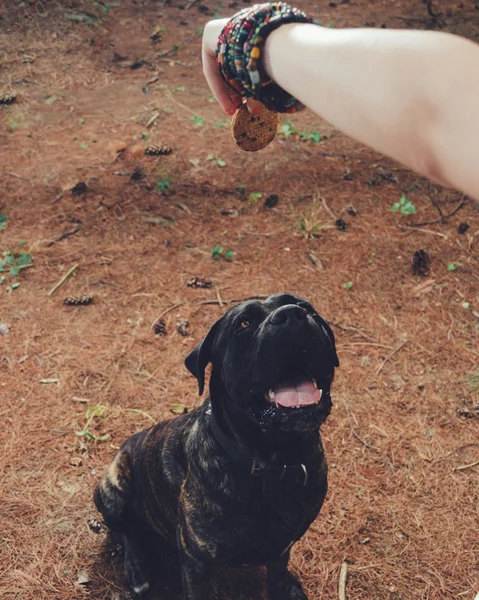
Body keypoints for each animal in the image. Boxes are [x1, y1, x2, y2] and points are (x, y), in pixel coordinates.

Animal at [94, 292, 340, 596]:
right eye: (244, 323)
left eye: (307, 308)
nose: (293, 314)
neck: (275, 461)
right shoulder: (196, 564)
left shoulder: (284, 544)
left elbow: (278, 570)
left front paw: (285, 587)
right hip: (113, 489)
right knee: (128, 530)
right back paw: (137, 569)